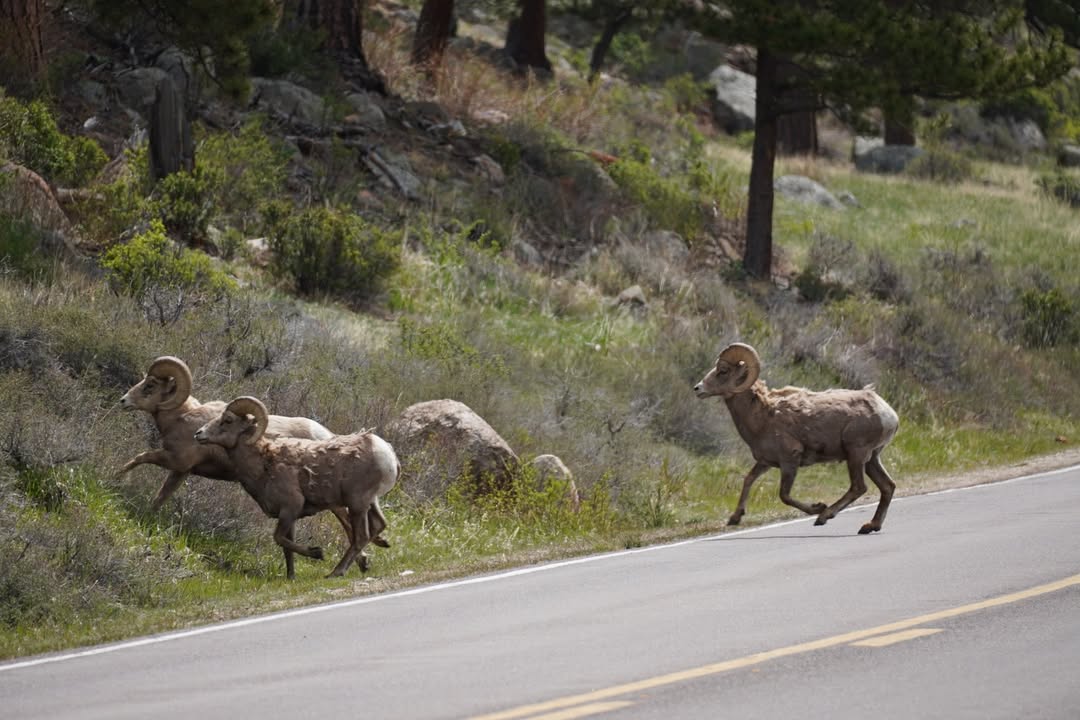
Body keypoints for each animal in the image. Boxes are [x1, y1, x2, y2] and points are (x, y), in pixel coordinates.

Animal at [118, 356, 388, 561]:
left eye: (150, 385)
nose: (123, 401)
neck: (182, 418)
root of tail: (325, 436)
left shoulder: (176, 462)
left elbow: (139, 460)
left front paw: (117, 479)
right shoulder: (180, 471)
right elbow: (161, 495)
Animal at [194, 396, 400, 579]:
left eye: (227, 420)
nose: (198, 434)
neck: (264, 464)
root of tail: (387, 453)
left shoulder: (290, 508)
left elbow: (278, 538)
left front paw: (317, 553)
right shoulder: (289, 517)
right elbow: (287, 546)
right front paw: (290, 577)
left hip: (357, 504)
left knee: (361, 536)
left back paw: (336, 572)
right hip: (371, 502)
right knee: (378, 525)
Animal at [693, 342, 899, 534]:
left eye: (723, 370)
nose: (697, 389)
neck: (762, 418)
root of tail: (888, 414)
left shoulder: (789, 461)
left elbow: (784, 496)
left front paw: (817, 507)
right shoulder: (765, 462)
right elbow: (748, 480)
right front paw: (734, 518)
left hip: (856, 455)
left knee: (858, 487)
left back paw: (824, 516)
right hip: (871, 459)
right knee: (887, 486)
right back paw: (870, 526)